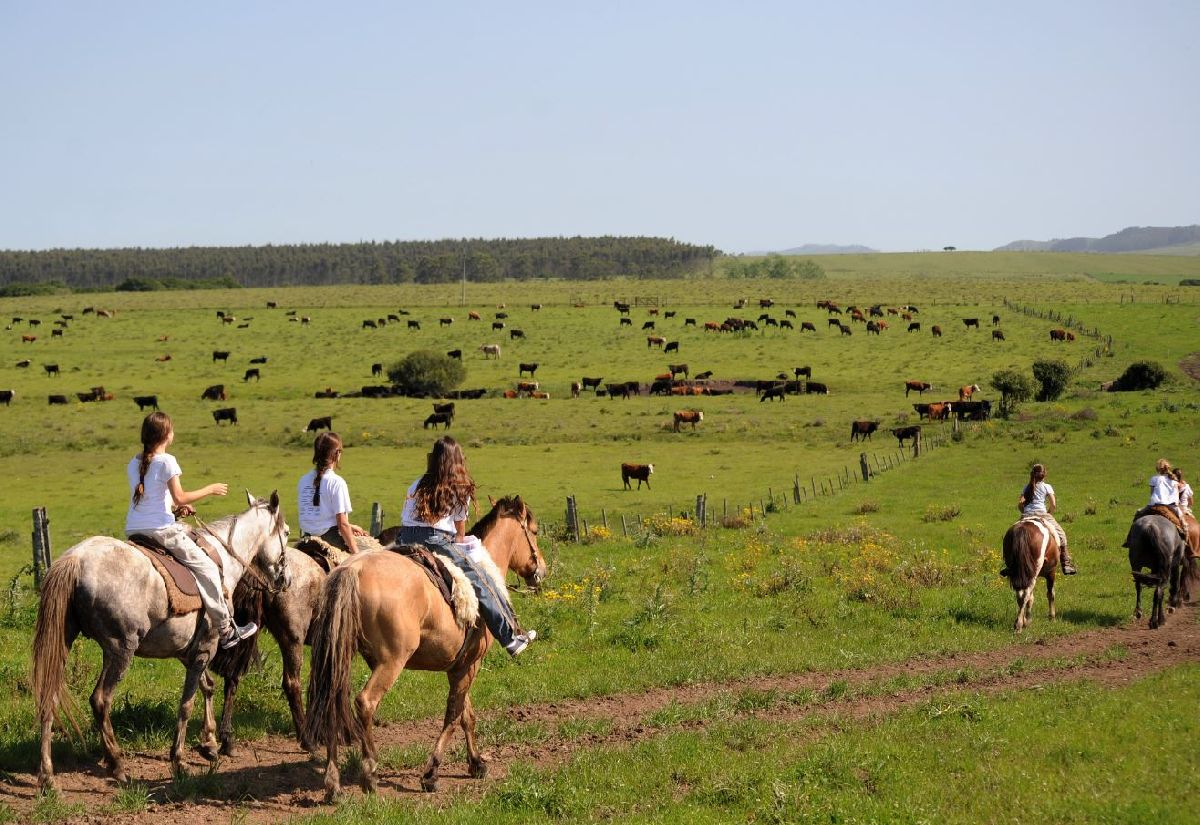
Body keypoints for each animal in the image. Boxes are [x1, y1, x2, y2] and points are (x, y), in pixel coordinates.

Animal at [34, 494, 291, 791]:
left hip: (63, 644)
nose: (286, 580)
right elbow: (186, 704)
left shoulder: (189, 651)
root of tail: (75, 559)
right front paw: (179, 759)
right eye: (286, 533)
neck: (222, 559)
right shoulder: (205, 648)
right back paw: (116, 764)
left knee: (49, 696)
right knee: (100, 700)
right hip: (121, 650)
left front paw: (210, 743)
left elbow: (207, 687)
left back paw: (47, 775)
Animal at [302, 496, 547, 801]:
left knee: (333, 702)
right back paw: (369, 773)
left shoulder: (460, 666)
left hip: (340, 656)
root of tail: (352, 569)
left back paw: (333, 784)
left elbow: (466, 714)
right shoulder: (471, 665)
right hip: (391, 662)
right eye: (534, 532)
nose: (541, 571)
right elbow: (453, 715)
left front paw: (476, 763)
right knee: (365, 703)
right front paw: (431, 774)